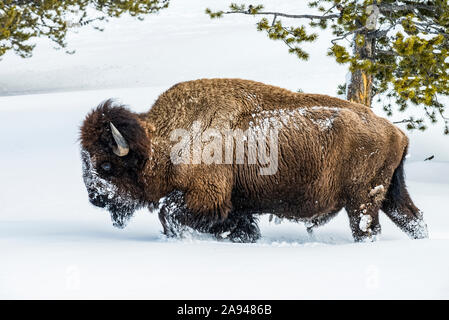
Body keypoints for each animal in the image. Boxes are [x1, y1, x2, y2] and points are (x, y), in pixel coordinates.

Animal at [79, 78, 428, 242]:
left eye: (106, 165)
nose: (95, 197)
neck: (163, 140)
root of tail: (396, 133)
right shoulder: (235, 204)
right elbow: (240, 226)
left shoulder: (206, 197)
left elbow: (169, 215)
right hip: (390, 193)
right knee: (412, 217)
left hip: (362, 199)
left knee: (368, 228)